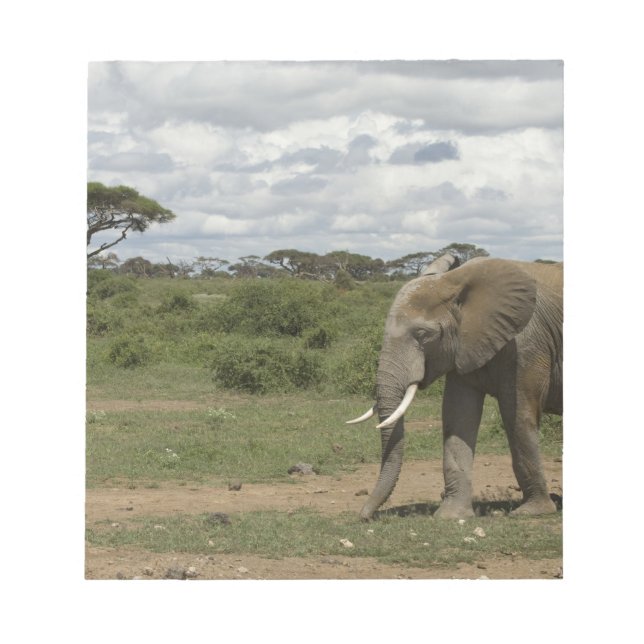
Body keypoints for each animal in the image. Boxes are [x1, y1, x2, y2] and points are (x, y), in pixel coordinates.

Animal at [347, 253, 562, 521]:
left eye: (423, 334)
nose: (363, 515)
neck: (455, 281)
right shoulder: (464, 344)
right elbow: (458, 416)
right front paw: (451, 516)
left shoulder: (528, 345)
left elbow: (519, 417)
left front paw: (533, 511)